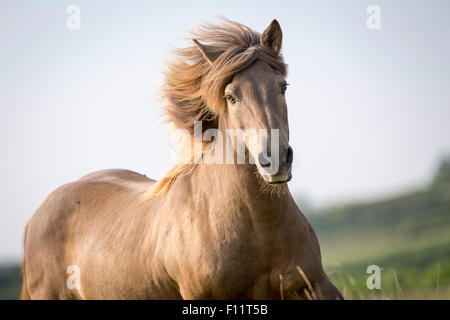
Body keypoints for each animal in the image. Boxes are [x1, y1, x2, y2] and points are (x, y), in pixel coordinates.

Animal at [21, 18, 342, 300]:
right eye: (231, 96)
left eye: (282, 86)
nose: (274, 160)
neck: (258, 231)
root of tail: (36, 218)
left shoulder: (317, 286)